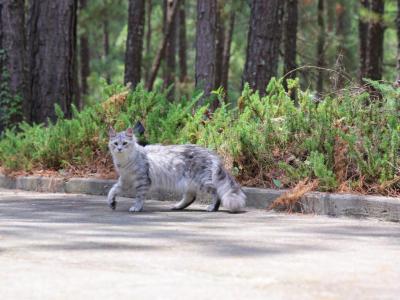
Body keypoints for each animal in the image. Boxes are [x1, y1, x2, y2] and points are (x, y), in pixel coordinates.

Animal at [106, 126, 245, 213]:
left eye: (124, 143)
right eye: (115, 144)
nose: (119, 149)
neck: (125, 162)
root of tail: (211, 153)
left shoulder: (142, 182)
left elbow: (139, 197)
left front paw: (136, 207)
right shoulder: (125, 180)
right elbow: (112, 190)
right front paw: (111, 202)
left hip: (202, 181)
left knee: (216, 193)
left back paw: (212, 208)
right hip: (188, 183)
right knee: (191, 197)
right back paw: (177, 206)